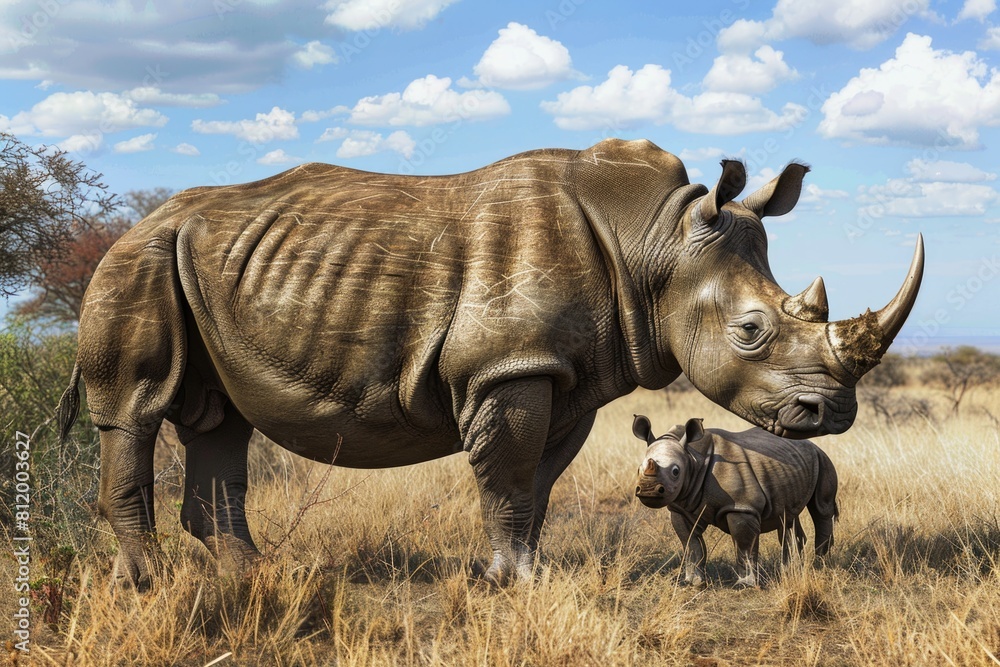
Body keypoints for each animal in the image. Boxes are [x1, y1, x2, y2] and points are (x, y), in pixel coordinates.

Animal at [632, 415, 839, 587]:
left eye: (676, 471)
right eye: (638, 469)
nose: (649, 490)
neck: (692, 457)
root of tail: (811, 444)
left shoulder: (741, 507)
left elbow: (744, 545)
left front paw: (745, 585)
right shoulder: (681, 508)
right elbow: (691, 544)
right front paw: (692, 582)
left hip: (822, 459)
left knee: (821, 509)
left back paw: (821, 565)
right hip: (791, 465)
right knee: (787, 516)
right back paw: (790, 570)